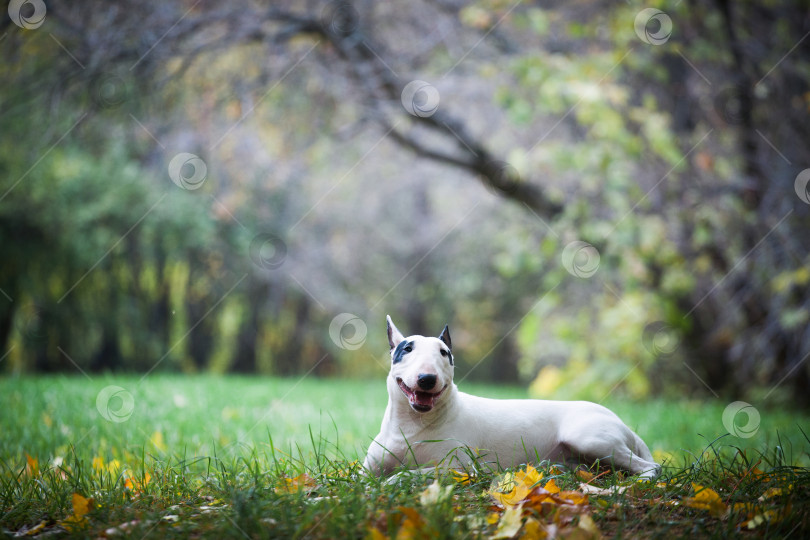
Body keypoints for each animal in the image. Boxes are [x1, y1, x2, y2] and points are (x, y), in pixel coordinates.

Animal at [362, 314, 660, 478]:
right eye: (407, 349)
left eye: (444, 353)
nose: (427, 379)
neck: (412, 425)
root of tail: (620, 422)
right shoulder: (367, 469)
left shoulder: (458, 468)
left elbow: (404, 475)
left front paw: (394, 479)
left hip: (590, 438)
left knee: (651, 466)